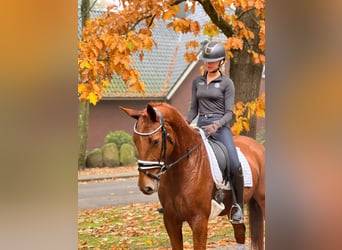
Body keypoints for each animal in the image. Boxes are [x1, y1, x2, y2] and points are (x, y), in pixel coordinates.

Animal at [121, 102, 266, 249]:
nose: (145, 186)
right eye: (135, 140)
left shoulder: (199, 221)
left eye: (155, 141)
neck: (184, 170)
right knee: (240, 232)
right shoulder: (171, 221)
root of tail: (258, 146)